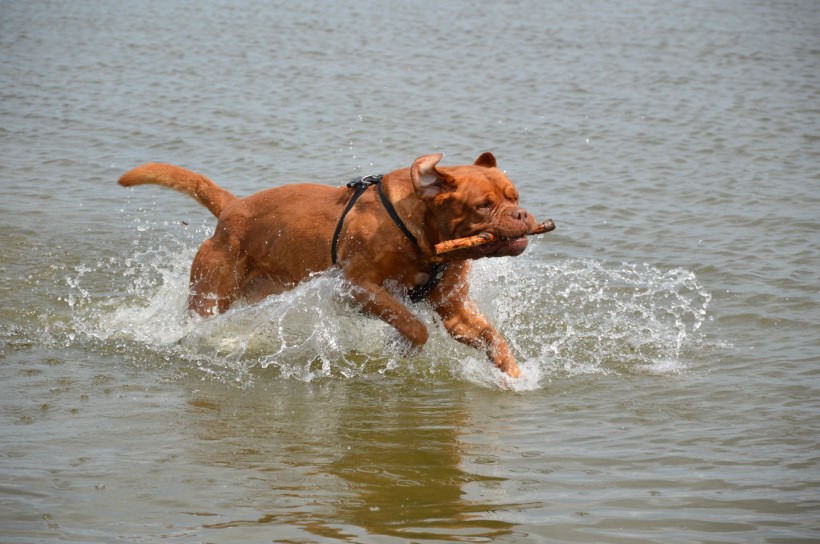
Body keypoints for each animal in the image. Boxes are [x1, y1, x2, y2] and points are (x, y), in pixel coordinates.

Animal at [118, 151, 544, 376]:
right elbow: (413, 323)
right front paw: (403, 347)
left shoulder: (454, 308)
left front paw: (515, 376)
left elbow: (492, 338)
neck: (424, 235)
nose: (522, 215)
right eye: (483, 206)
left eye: (515, 195)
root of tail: (232, 208)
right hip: (210, 295)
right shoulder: (357, 287)